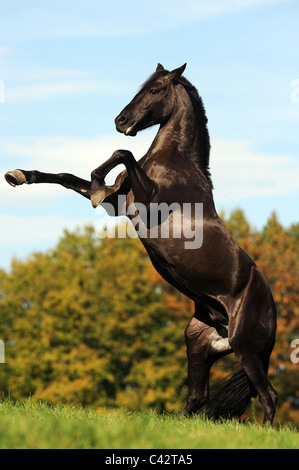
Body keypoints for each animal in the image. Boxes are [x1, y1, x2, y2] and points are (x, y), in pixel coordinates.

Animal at [4, 63, 278, 426]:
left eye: (155, 90)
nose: (120, 121)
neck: (175, 163)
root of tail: (272, 311)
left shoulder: (148, 201)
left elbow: (123, 153)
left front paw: (96, 181)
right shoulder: (119, 203)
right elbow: (67, 177)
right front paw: (19, 175)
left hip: (247, 348)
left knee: (268, 395)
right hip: (198, 343)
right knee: (198, 396)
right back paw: (173, 422)